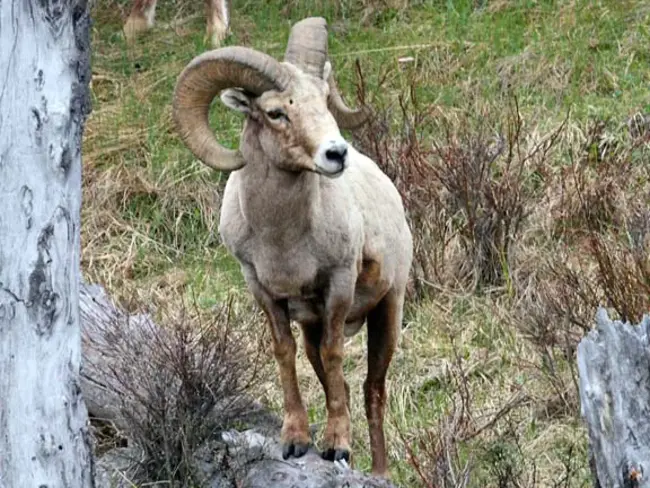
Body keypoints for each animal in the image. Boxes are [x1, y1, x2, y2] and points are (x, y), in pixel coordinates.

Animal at [171, 16, 410, 480]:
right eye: (276, 112)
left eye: (324, 101)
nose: (336, 154)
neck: (282, 240)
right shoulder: (263, 290)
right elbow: (285, 354)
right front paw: (296, 440)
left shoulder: (337, 286)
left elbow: (336, 356)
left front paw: (337, 445)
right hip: (313, 324)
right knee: (340, 382)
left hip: (388, 310)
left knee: (372, 391)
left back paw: (378, 472)